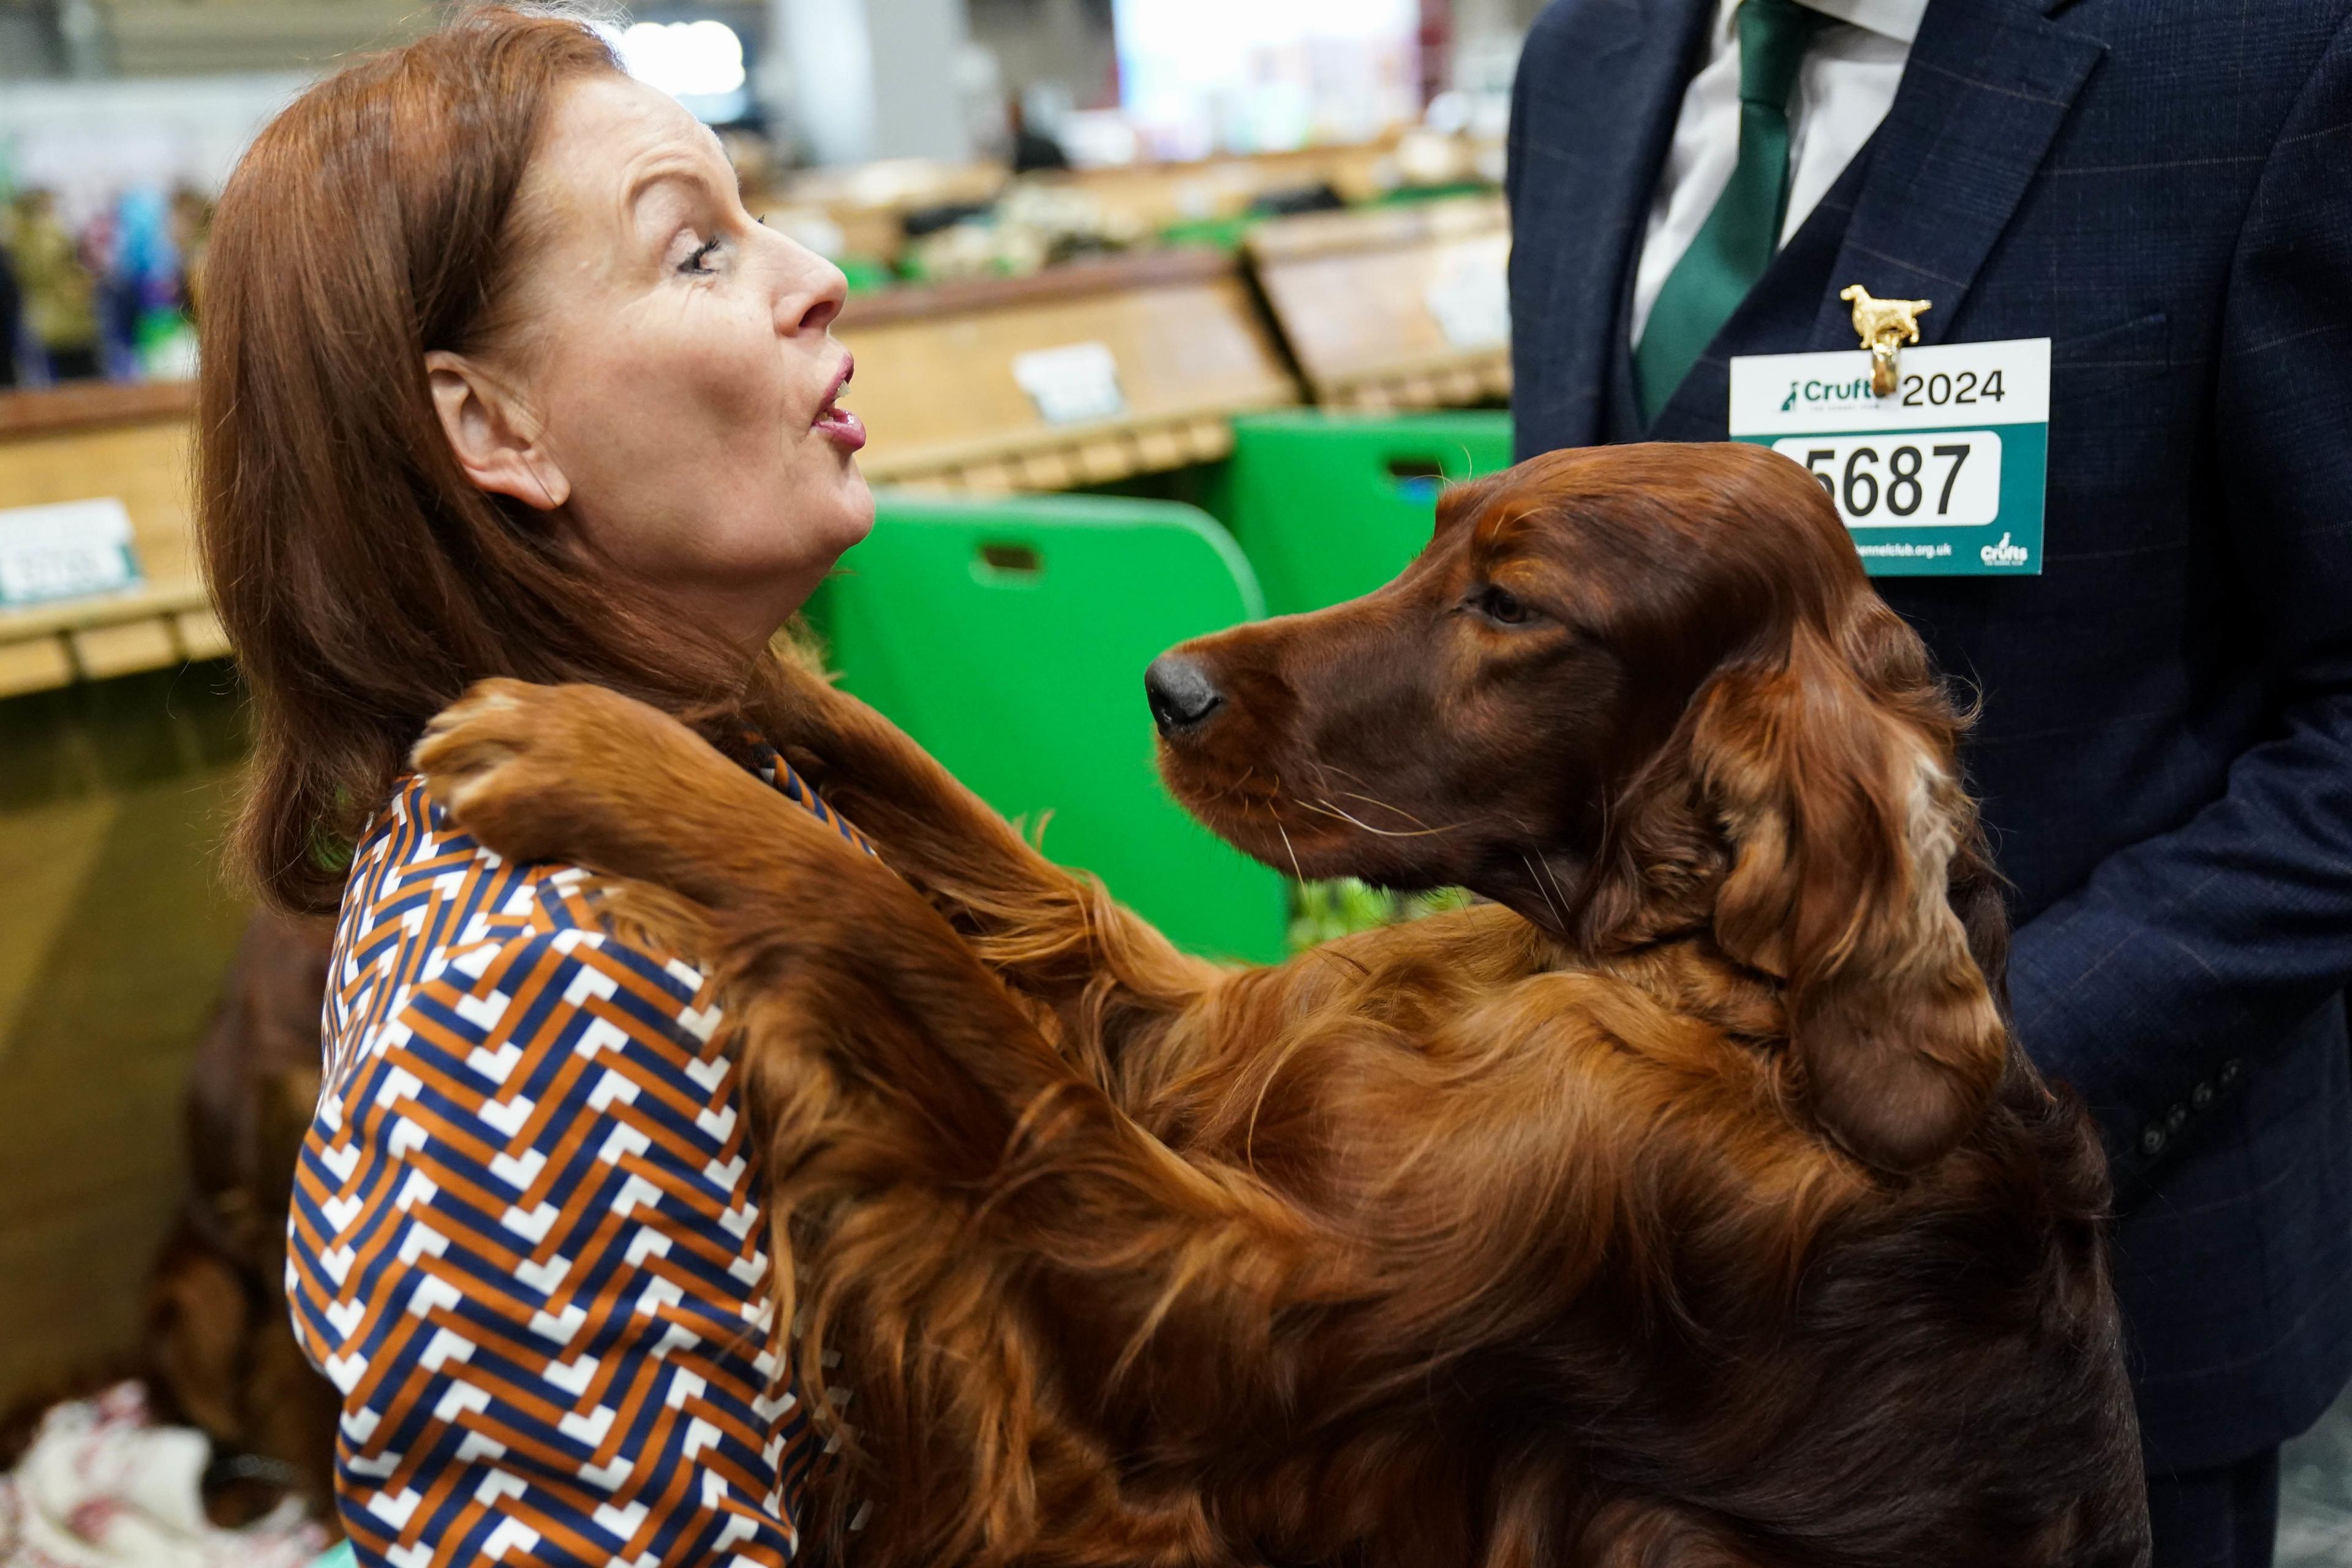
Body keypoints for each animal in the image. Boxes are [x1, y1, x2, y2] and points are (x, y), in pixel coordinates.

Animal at [418, 442, 2154, 1568]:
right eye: (1434, 535)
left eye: (1512, 607)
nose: (1166, 687)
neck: (1677, 976)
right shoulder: (1217, 1047)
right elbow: (1009, 877)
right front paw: (713, 672)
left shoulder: (1226, 1307)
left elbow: (894, 942)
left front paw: (599, 755)